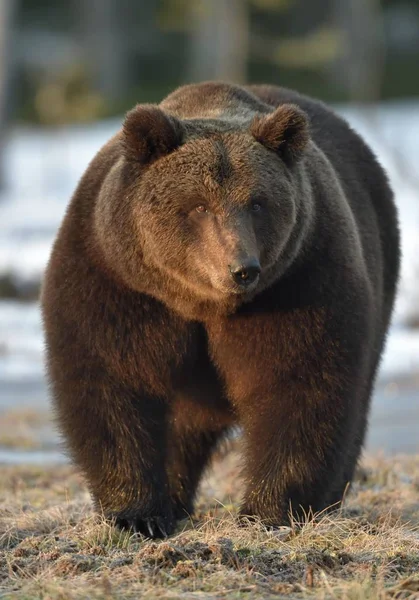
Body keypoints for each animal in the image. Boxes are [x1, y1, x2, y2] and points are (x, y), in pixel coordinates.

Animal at [41, 81, 400, 540]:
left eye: (258, 203)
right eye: (199, 205)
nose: (242, 268)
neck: (200, 302)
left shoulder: (299, 282)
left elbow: (300, 383)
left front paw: (268, 513)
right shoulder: (117, 281)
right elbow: (112, 382)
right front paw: (137, 514)